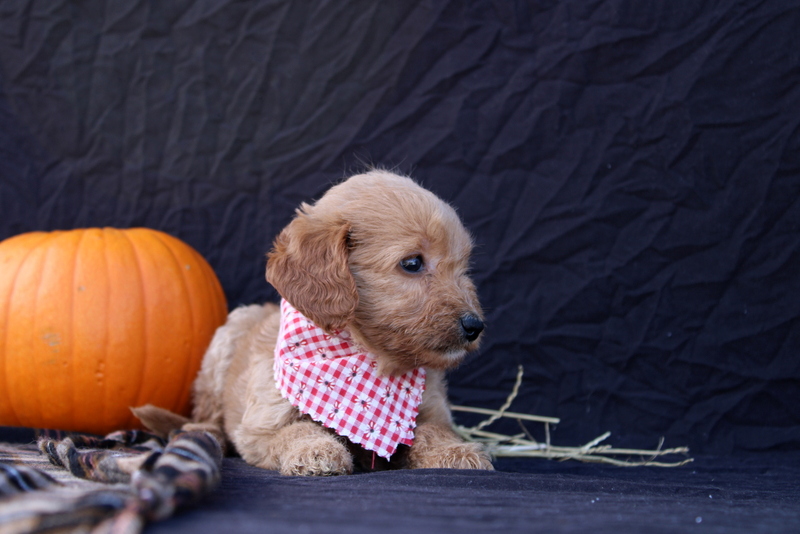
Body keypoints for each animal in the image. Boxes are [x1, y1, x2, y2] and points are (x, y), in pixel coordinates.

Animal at [136, 171, 494, 478]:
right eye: (412, 263)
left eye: (463, 267)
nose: (474, 326)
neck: (371, 360)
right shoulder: (260, 424)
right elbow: (296, 429)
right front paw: (316, 450)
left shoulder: (431, 410)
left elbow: (434, 431)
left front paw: (456, 451)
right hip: (220, 350)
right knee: (206, 414)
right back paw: (200, 431)